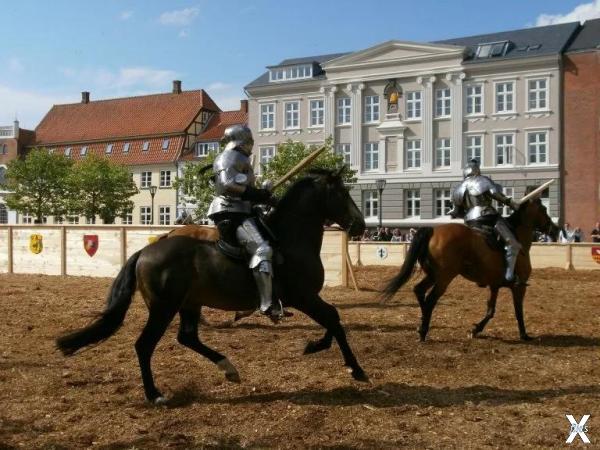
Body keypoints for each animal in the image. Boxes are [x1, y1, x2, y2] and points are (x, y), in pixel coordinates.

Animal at [57, 170, 366, 404]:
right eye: (341, 193)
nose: (361, 225)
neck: (290, 239)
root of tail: (144, 252)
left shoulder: (308, 299)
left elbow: (334, 318)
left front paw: (318, 346)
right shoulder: (304, 297)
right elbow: (334, 318)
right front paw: (354, 367)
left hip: (189, 304)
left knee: (187, 337)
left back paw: (228, 368)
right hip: (163, 309)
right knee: (144, 345)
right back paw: (154, 394)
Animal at [382, 198, 560, 342]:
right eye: (544, 210)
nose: (556, 230)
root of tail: (433, 230)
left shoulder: (494, 286)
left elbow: (490, 310)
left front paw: (476, 330)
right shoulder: (519, 287)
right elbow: (518, 311)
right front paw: (524, 335)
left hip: (433, 275)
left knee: (419, 291)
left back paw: (422, 321)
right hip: (444, 278)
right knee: (431, 299)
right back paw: (423, 330)